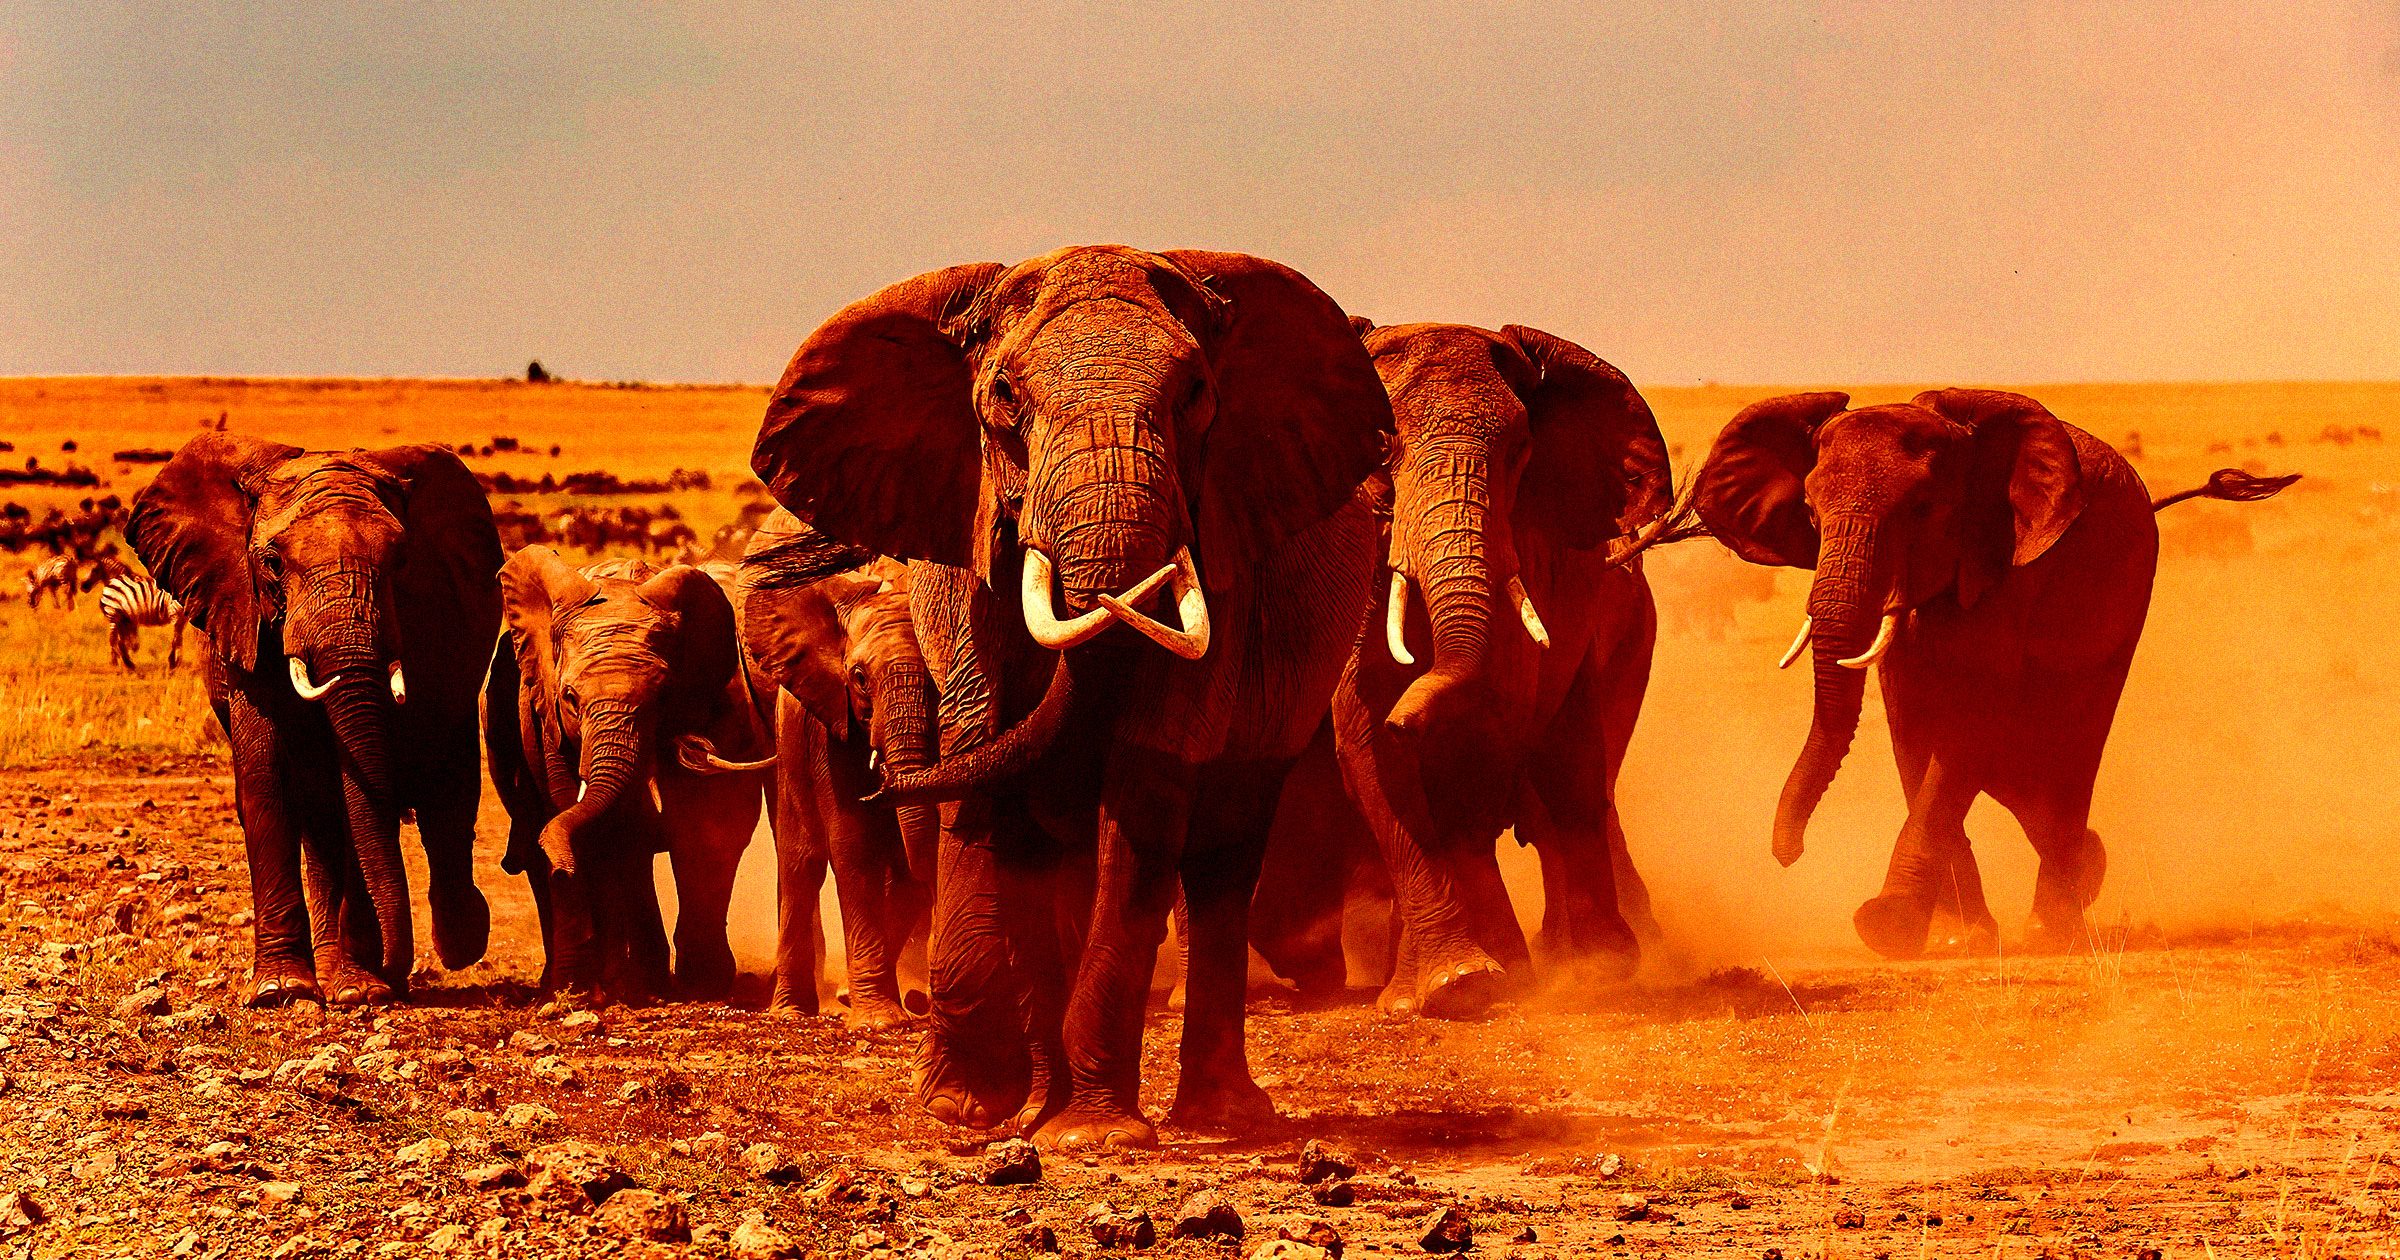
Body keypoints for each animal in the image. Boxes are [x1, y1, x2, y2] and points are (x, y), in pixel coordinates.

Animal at [128, 433, 502, 1006]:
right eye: (272, 564)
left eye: (402, 561)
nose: (395, 969)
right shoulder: (243, 614)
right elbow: (268, 777)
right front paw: (281, 990)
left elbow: (361, 793)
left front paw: (361, 990)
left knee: (445, 796)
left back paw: (449, 943)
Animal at [482, 547, 771, 1002]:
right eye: (569, 697)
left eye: (662, 696)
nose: (563, 870)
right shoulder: (545, 719)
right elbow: (602, 830)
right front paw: (595, 988)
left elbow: (710, 827)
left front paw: (701, 985)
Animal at [735, 508, 939, 1026]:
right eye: (859, 678)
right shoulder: (828, 723)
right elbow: (853, 840)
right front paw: (880, 1019)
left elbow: (906, 857)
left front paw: (875, 1003)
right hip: (788, 744)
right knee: (801, 860)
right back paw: (790, 1012)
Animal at [1250, 321, 1676, 1015]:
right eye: (1381, 444)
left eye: (1520, 450)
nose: (1407, 719)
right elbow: (1364, 746)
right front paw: (1447, 987)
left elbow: (1487, 738)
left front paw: (1481, 980)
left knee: (1575, 778)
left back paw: (1597, 964)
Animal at [1691, 389, 2296, 958]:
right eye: (1812, 515)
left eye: (1922, 509)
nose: (1790, 854)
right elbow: (1912, 729)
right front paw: (1956, 939)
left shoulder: (2005, 566)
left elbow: (1966, 725)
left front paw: (1886, 928)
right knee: (2021, 774)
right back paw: (2085, 869)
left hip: (2127, 597)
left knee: (2071, 738)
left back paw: (2053, 928)